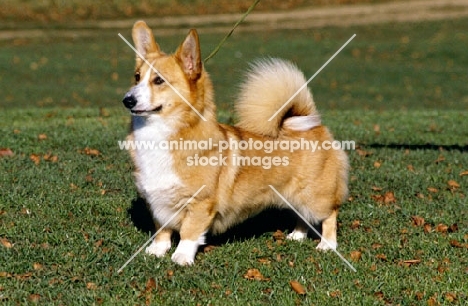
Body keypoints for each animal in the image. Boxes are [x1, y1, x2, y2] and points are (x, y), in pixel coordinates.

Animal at [122, 21, 350, 266]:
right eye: (136, 77)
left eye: (159, 80)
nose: (127, 100)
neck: (160, 133)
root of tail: (309, 122)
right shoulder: (157, 202)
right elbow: (162, 230)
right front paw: (157, 250)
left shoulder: (200, 203)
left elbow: (189, 232)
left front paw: (181, 257)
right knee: (302, 216)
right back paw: (297, 235)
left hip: (313, 194)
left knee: (329, 214)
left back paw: (327, 245)